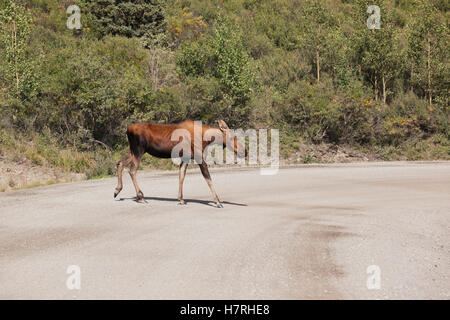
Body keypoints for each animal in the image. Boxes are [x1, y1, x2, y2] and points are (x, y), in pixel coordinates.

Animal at [112, 120, 246, 208]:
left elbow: (181, 175)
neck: (206, 139)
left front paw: (181, 199)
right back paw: (140, 197)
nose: (244, 151)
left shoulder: (186, 158)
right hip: (138, 150)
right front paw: (217, 201)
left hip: (133, 151)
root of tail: (127, 130)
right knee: (132, 170)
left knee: (120, 163)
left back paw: (117, 190)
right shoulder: (199, 158)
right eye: (231, 137)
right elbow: (208, 179)